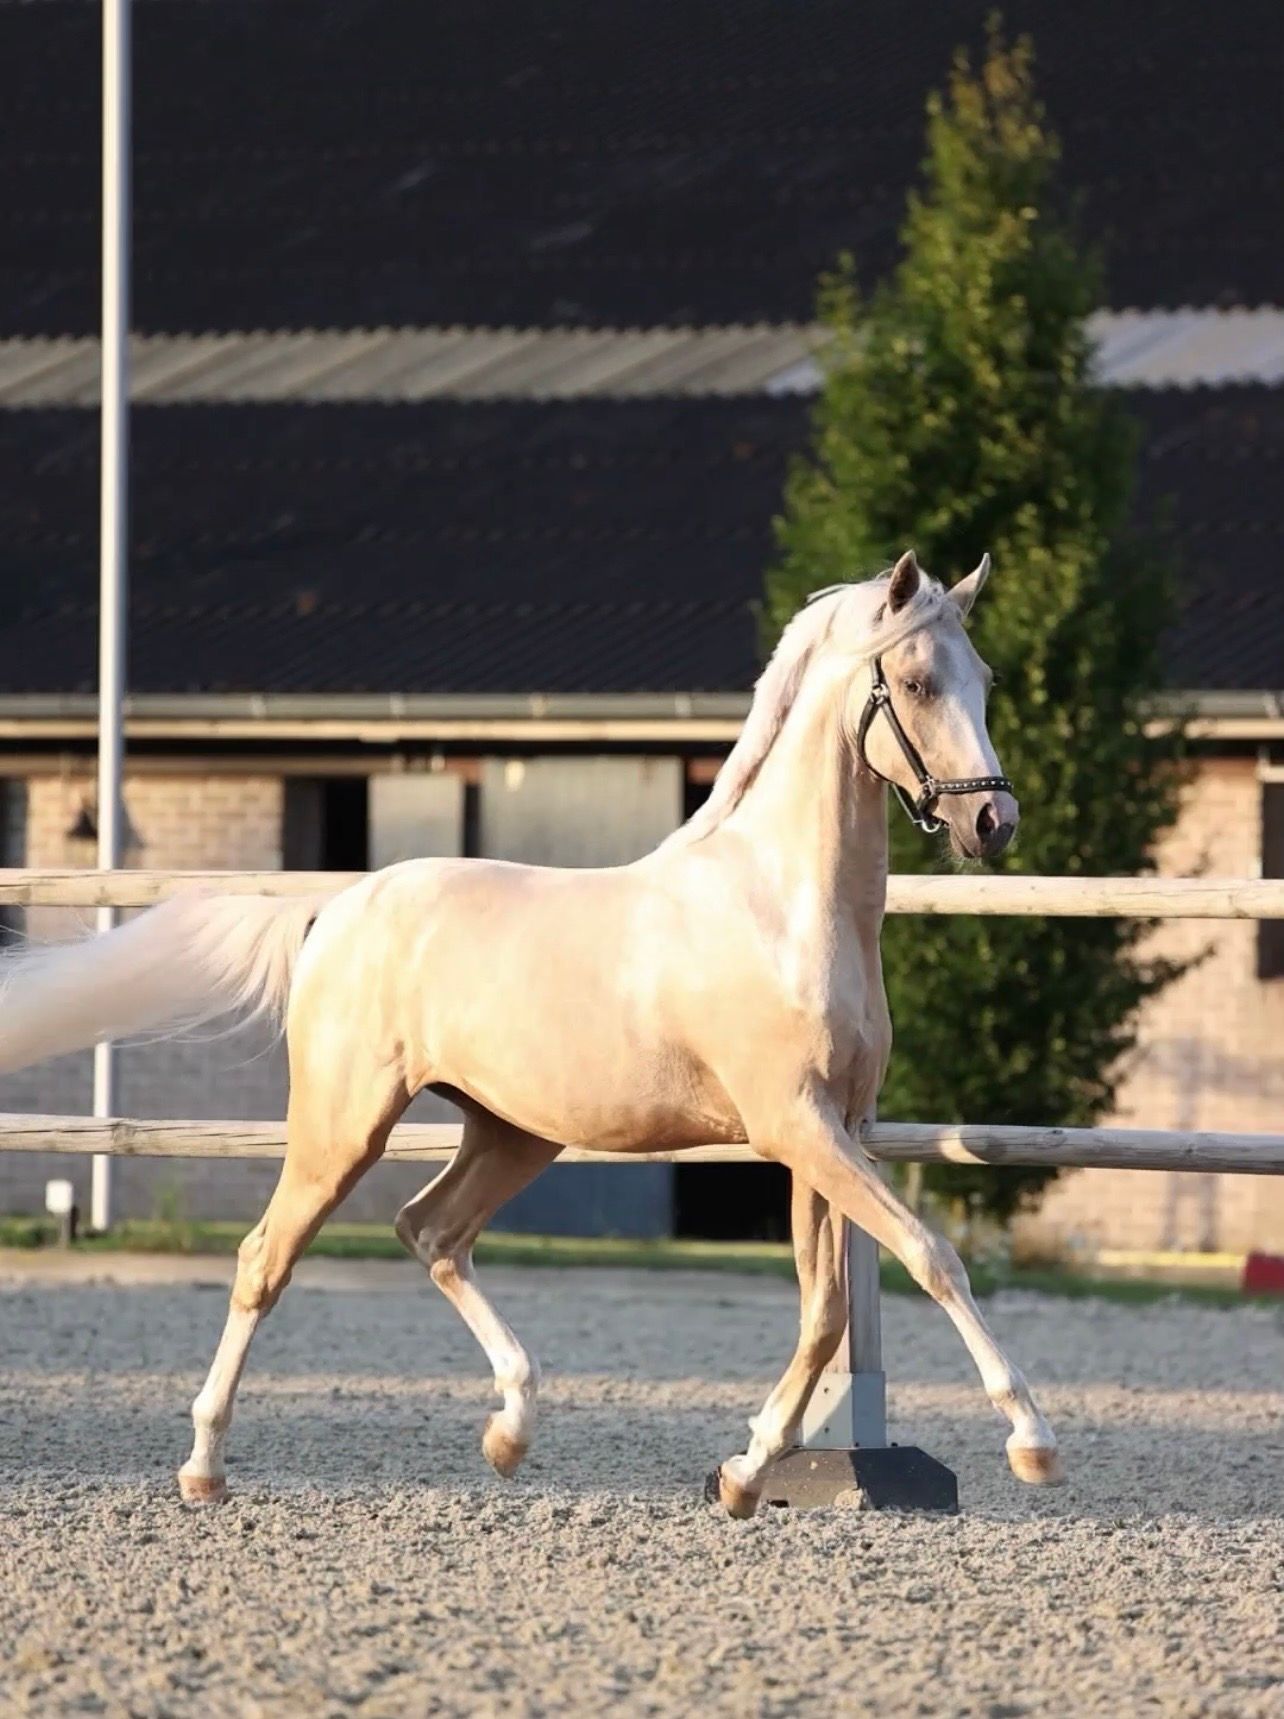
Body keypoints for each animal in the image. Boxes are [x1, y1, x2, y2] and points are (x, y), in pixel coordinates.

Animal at [0, 550, 1061, 1515]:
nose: (993, 821)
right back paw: (204, 1465)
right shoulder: (797, 1128)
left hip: (511, 1131)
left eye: (983, 677)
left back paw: (510, 1430)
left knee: (430, 1230)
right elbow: (930, 1255)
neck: (785, 907)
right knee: (268, 1257)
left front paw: (745, 1474)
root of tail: (335, 909)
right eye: (916, 682)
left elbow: (824, 1312)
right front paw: (1031, 1441)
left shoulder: (832, 1132)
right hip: (343, 1127)